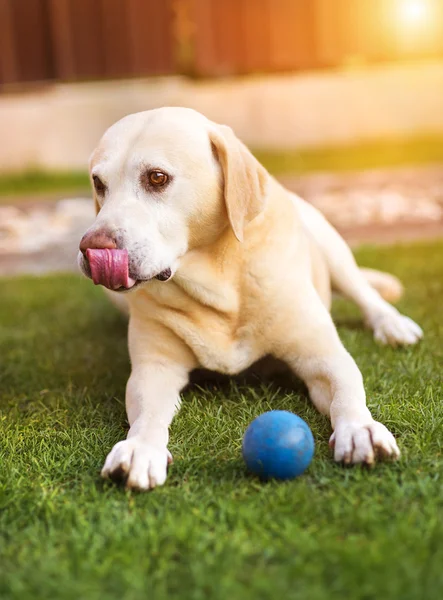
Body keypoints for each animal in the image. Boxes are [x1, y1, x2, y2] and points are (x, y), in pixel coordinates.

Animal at [79, 108, 424, 490]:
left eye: (156, 177)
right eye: (99, 183)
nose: (91, 248)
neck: (219, 283)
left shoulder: (324, 357)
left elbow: (347, 390)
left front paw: (360, 429)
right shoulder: (153, 369)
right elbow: (147, 414)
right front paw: (140, 448)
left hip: (332, 245)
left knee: (364, 291)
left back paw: (392, 324)